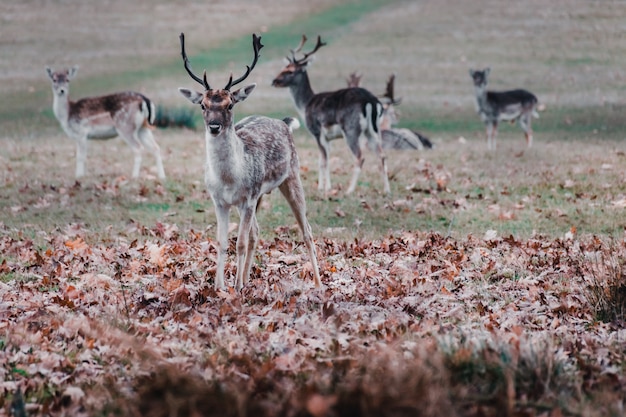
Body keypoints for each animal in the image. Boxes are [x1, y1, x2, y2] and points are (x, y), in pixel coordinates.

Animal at [177, 32, 320, 290]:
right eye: (203, 104)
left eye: (230, 104)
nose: (214, 126)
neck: (228, 179)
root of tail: (285, 122)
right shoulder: (219, 201)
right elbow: (222, 242)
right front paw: (220, 287)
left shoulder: (248, 198)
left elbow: (240, 243)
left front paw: (234, 288)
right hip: (258, 197)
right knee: (257, 232)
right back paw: (245, 278)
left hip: (292, 175)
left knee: (307, 230)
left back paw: (318, 282)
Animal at [270, 34, 388, 195]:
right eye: (284, 67)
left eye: (290, 71)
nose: (274, 81)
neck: (305, 105)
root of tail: (371, 101)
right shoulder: (328, 137)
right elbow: (324, 159)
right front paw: (324, 186)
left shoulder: (317, 131)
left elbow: (323, 160)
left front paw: (325, 188)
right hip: (373, 130)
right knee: (382, 154)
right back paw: (386, 190)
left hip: (351, 129)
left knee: (359, 157)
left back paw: (350, 190)